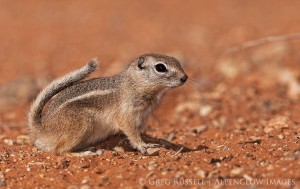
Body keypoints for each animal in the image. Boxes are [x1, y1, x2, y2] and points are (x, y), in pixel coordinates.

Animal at [28, 54, 188, 154]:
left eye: (176, 60)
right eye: (160, 67)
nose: (185, 78)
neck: (133, 84)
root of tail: (43, 128)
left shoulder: (141, 118)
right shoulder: (126, 116)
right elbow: (132, 133)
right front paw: (143, 145)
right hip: (82, 124)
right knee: (60, 150)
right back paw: (85, 153)